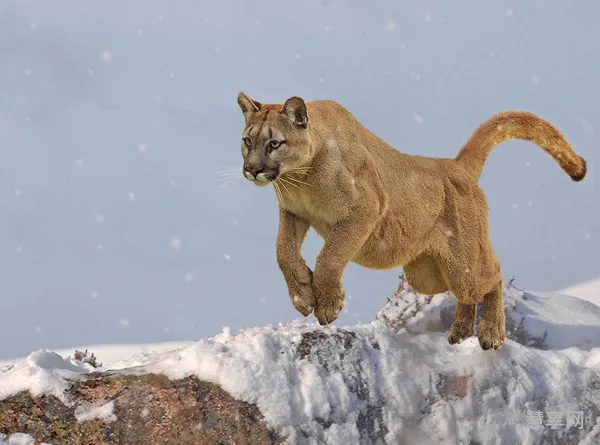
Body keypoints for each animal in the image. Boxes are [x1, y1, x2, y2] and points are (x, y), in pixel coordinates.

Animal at [236, 92, 584, 348]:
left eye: (275, 143)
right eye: (247, 141)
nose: (252, 169)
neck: (300, 177)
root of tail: (455, 166)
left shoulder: (365, 208)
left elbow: (330, 254)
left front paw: (328, 303)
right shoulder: (293, 214)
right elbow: (283, 252)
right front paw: (303, 296)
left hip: (462, 264)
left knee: (493, 274)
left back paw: (491, 332)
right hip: (427, 276)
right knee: (466, 293)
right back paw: (461, 331)